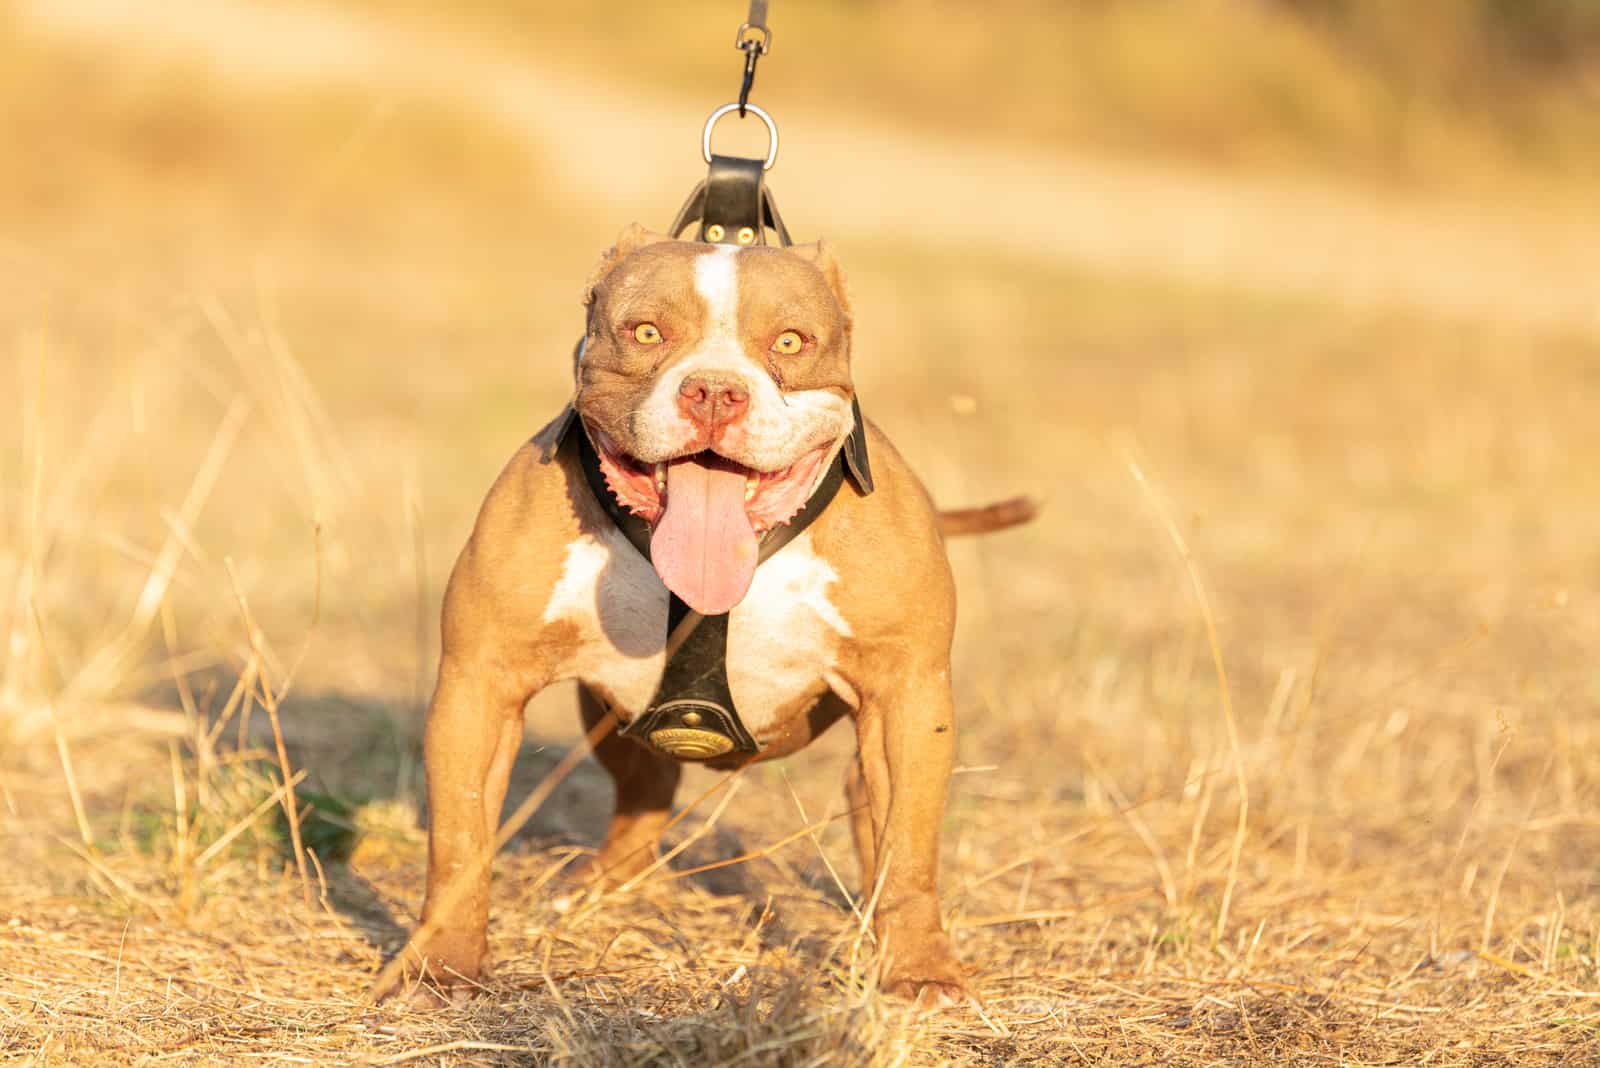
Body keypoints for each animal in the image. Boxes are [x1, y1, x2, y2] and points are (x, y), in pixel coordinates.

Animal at [379, 223, 1036, 1004]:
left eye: (790, 342)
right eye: (645, 332)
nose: (716, 391)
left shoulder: (907, 697)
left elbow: (908, 848)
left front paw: (919, 971)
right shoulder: (478, 685)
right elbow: (459, 838)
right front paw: (440, 962)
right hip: (610, 720)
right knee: (644, 789)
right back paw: (603, 886)